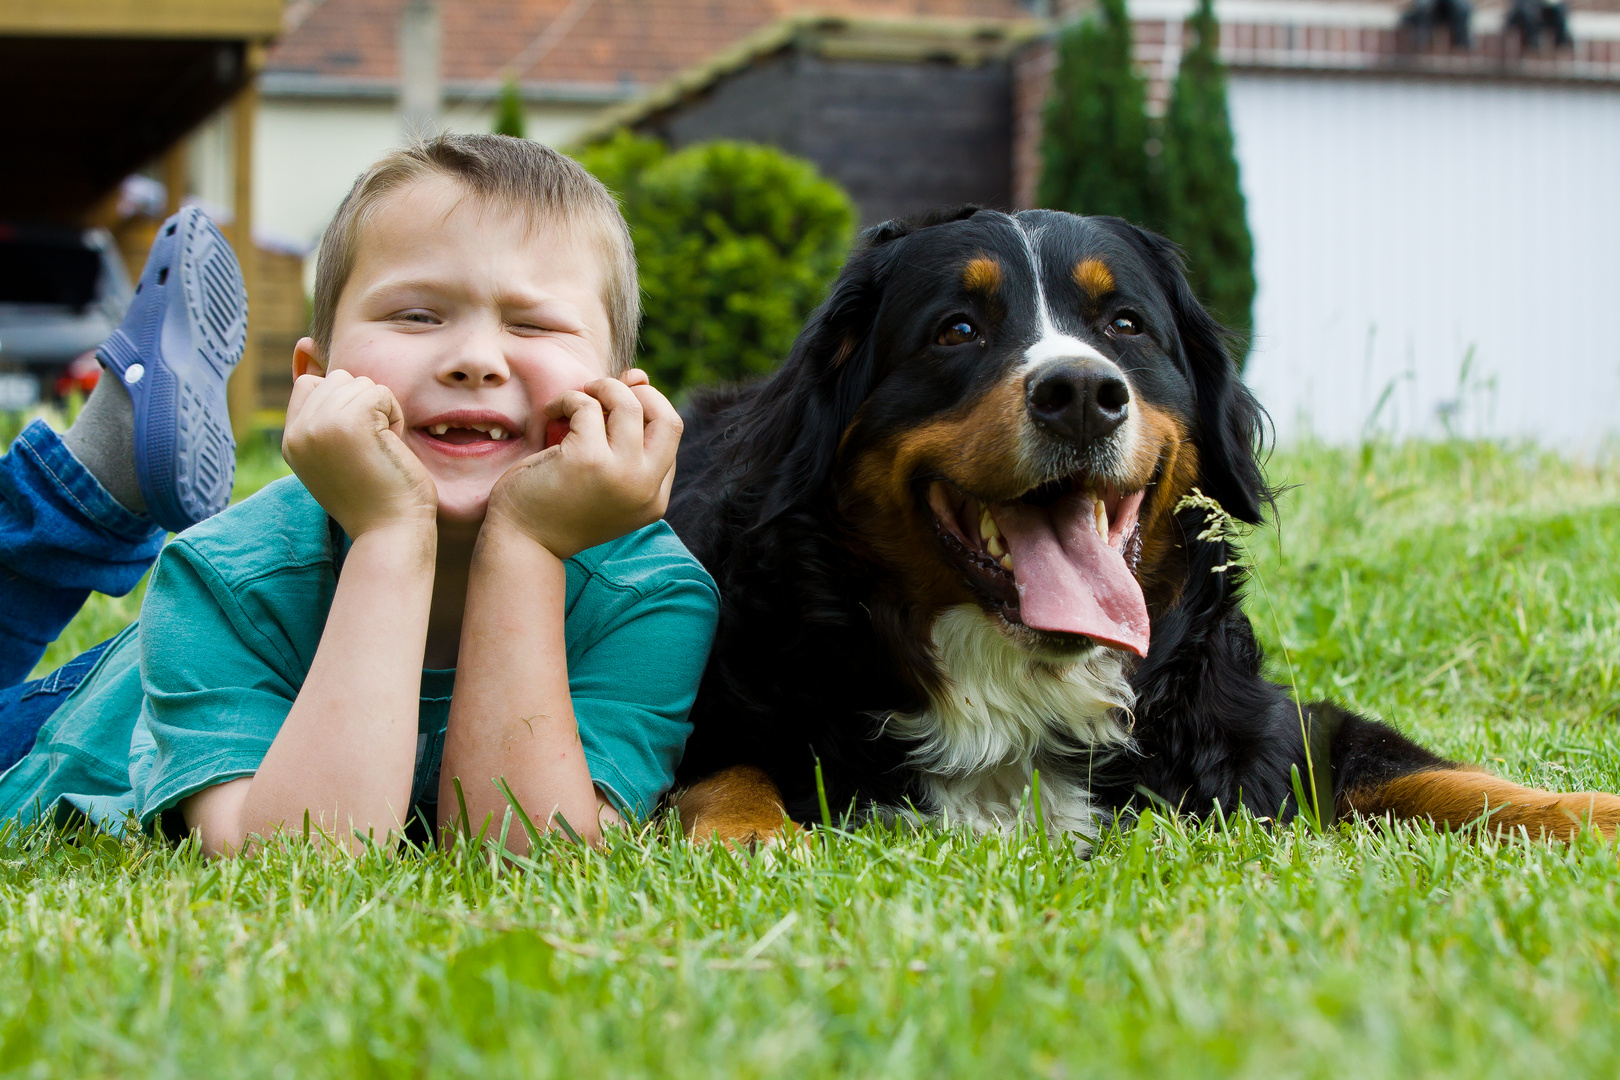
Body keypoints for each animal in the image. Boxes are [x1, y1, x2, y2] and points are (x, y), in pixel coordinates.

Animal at [660, 207, 1620, 848]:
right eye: (956, 330)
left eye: (1125, 324)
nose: (1082, 392)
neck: (1023, 696)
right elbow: (727, 770)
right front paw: (750, 837)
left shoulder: (1272, 733)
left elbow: (1442, 775)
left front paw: (1593, 812)